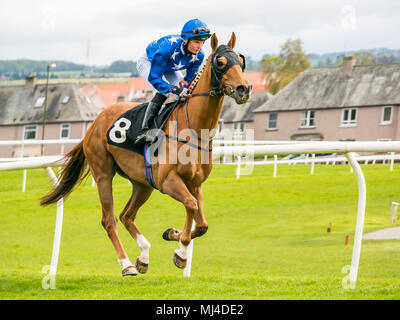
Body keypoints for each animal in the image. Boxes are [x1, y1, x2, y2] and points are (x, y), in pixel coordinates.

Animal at [41, 33, 253, 276]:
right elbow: (191, 206)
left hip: (142, 183)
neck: (193, 129)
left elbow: (201, 224)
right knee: (109, 220)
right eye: (220, 62)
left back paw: (143, 256)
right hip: (104, 174)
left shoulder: (195, 183)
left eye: (241, 61)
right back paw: (127, 264)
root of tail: (95, 122)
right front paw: (181, 253)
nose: (244, 88)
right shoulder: (167, 180)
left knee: (127, 215)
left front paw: (173, 234)